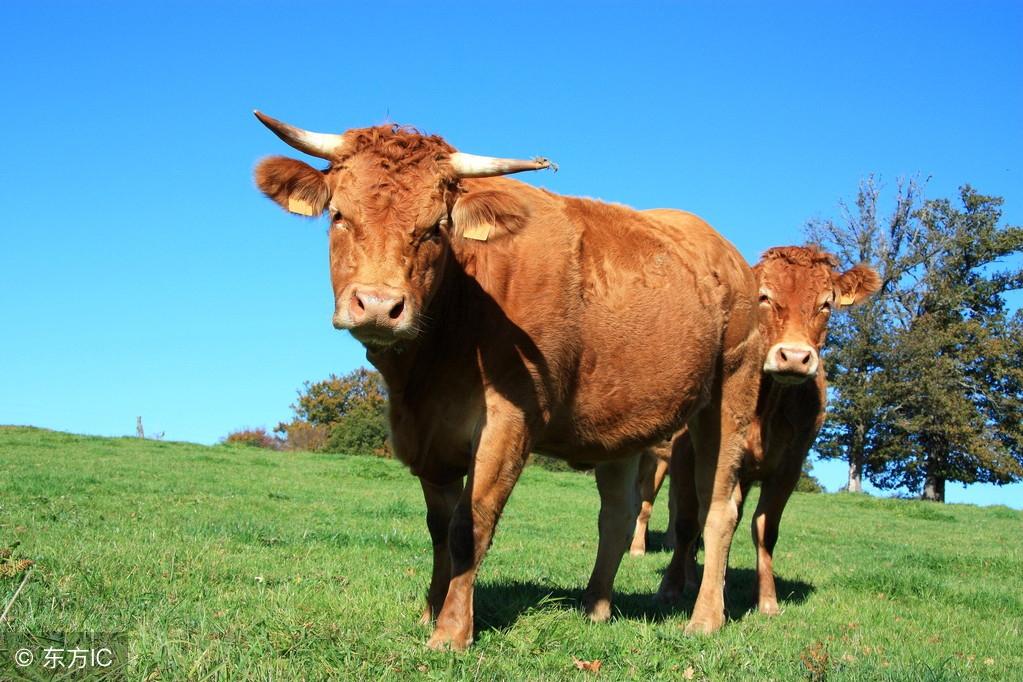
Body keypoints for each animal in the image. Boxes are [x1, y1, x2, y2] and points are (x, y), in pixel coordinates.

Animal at [251, 113, 765, 650]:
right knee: (617, 516)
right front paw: (431, 609)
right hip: (623, 422)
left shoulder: (510, 420)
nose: (377, 305)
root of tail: (726, 251)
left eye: (436, 229)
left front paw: (451, 631)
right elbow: (439, 528)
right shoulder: (430, 437)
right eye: (338, 216)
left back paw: (705, 618)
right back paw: (595, 608)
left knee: (719, 508)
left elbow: (468, 527)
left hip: (732, 390)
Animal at [658, 248, 883, 617]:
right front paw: (674, 588)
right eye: (764, 297)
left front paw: (765, 599)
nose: (794, 356)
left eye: (826, 304)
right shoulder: (690, 452)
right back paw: (689, 579)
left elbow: (764, 529)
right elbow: (688, 522)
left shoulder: (790, 466)